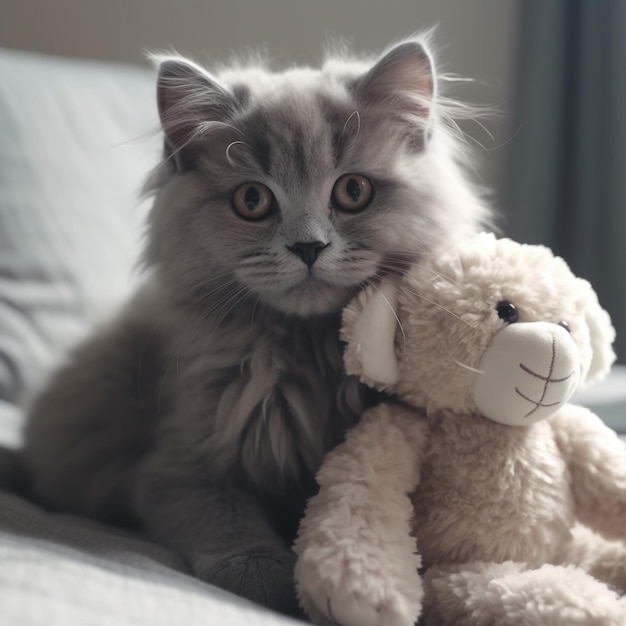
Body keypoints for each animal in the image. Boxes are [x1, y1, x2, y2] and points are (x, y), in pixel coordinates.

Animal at [18, 37, 488, 616]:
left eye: (353, 191)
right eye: (252, 201)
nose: (308, 247)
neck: (307, 353)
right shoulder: (178, 467)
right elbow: (229, 522)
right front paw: (272, 581)